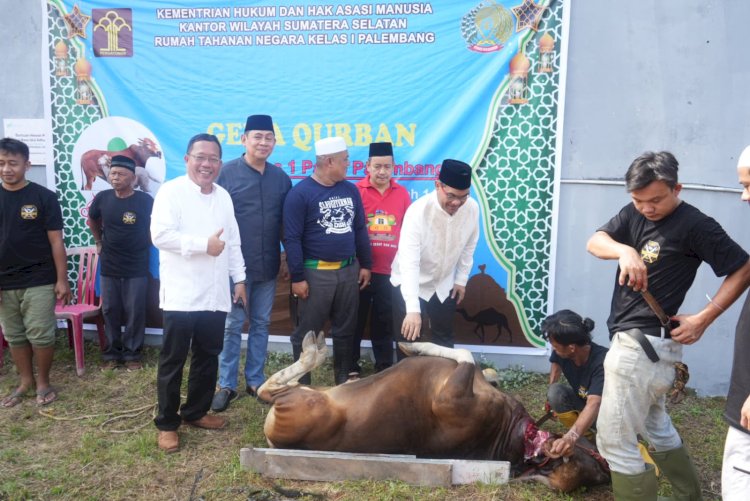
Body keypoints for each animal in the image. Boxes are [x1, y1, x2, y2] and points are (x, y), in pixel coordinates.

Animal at [258, 330, 612, 490]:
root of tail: (274, 440)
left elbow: (466, 354)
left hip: (313, 404)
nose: (606, 463)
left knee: (270, 389)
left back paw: (312, 352)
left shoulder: (450, 398)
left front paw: (415, 345)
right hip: (317, 395)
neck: (514, 435)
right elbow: (479, 364)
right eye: (589, 449)